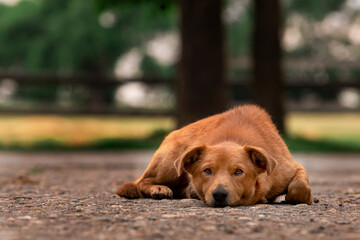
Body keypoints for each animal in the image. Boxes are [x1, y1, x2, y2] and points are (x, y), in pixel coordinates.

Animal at [117, 105, 312, 206]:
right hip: (170, 162)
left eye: (239, 171)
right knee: (140, 182)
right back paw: (159, 189)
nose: (219, 194)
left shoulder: (292, 167)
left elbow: (299, 187)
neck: (232, 138)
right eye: (207, 170)